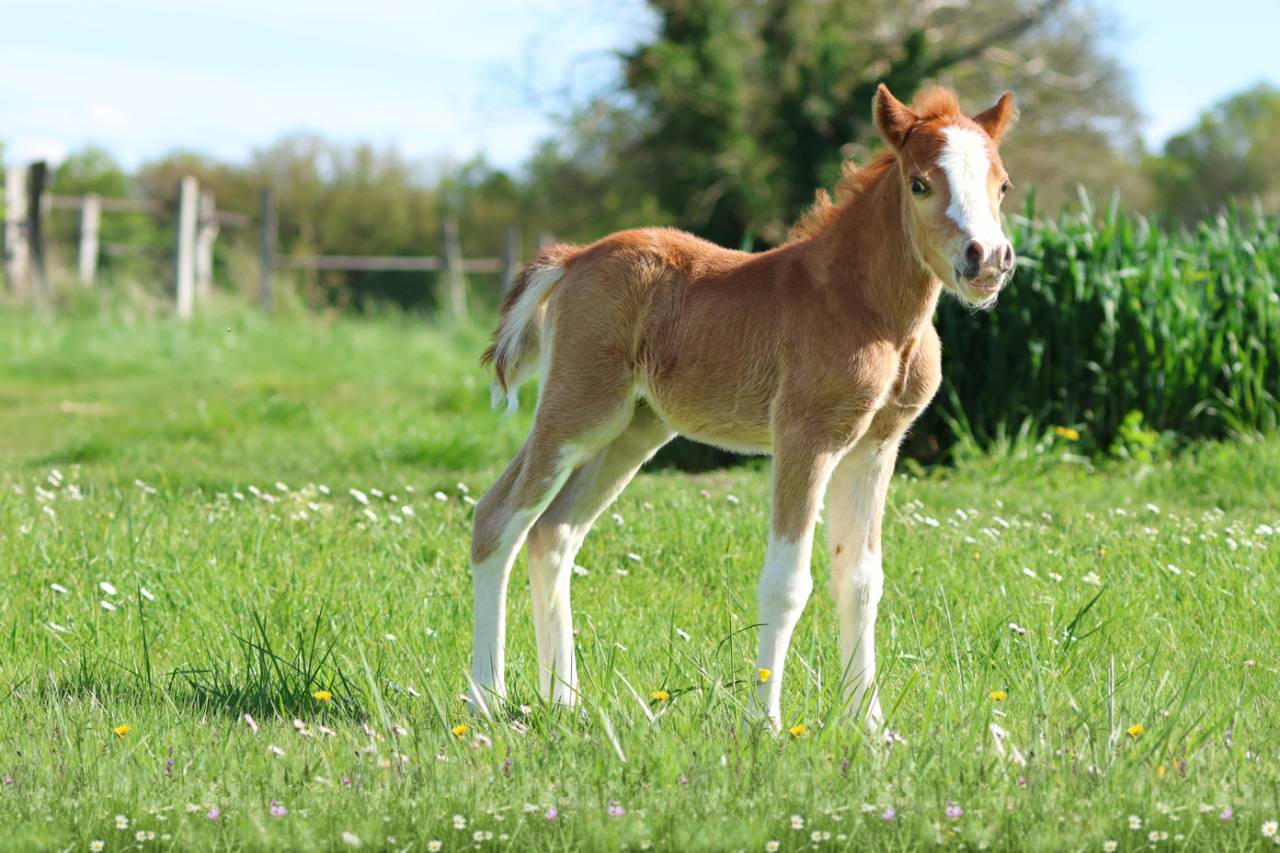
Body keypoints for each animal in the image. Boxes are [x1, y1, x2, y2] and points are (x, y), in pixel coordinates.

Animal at [467, 84, 1017, 730]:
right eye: (920, 183)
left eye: (1002, 185)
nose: (988, 259)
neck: (868, 309)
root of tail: (575, 257)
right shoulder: (806, 439)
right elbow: (787, 582)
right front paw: (766, 723)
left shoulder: (875, 447)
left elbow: (860, 580)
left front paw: (870, 725)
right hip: (578, 412)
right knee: (498, 518)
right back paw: (485, 698)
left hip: (633, 431)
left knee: (553, 533)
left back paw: (567, 701)